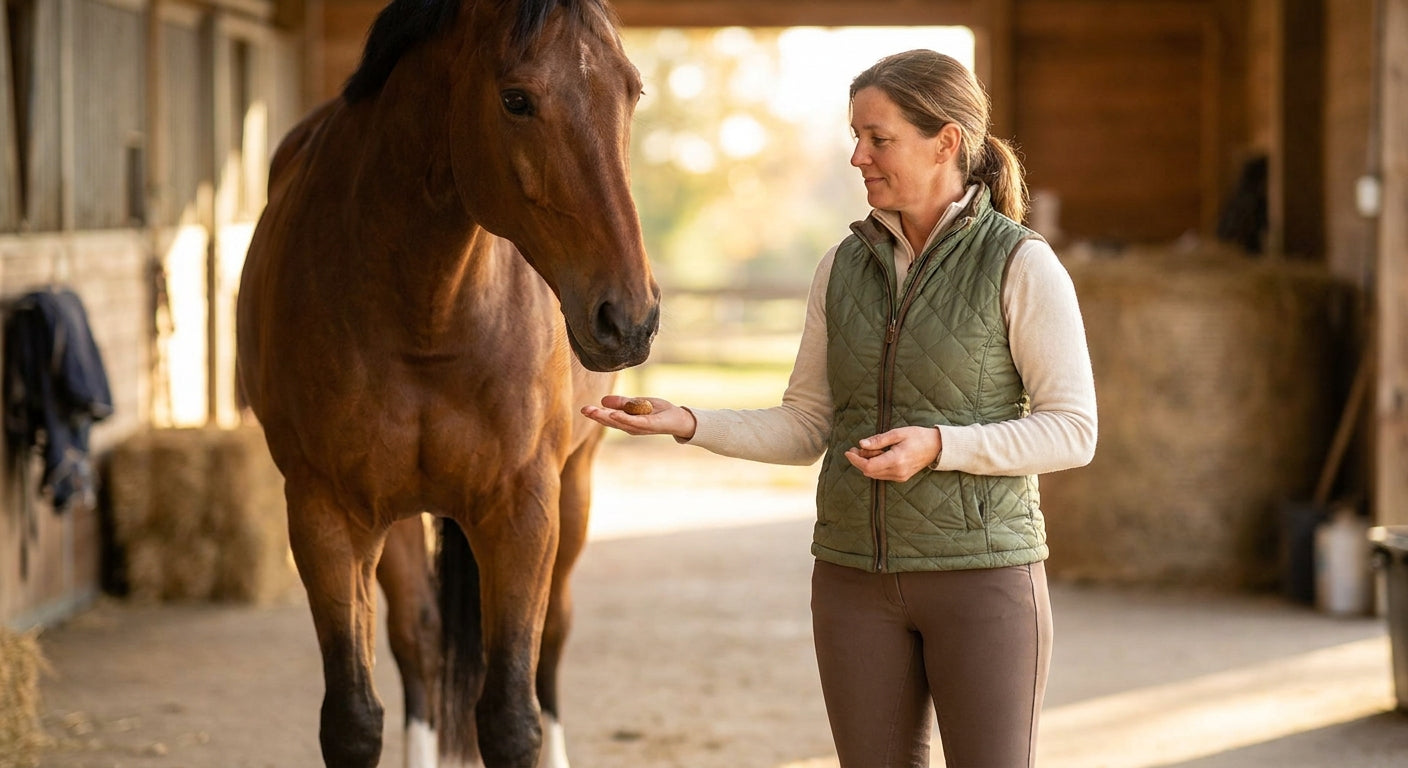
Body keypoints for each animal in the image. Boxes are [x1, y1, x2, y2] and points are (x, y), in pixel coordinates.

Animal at [235, 0, 658, 765]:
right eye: (515, 100)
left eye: (631, 90)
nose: (629, 317)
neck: (429, 316)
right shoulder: (325, 513)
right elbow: (353, 717)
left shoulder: (523, 510)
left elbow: (512, 716)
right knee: (421, 640)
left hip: (574, 489)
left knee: (552, 637)